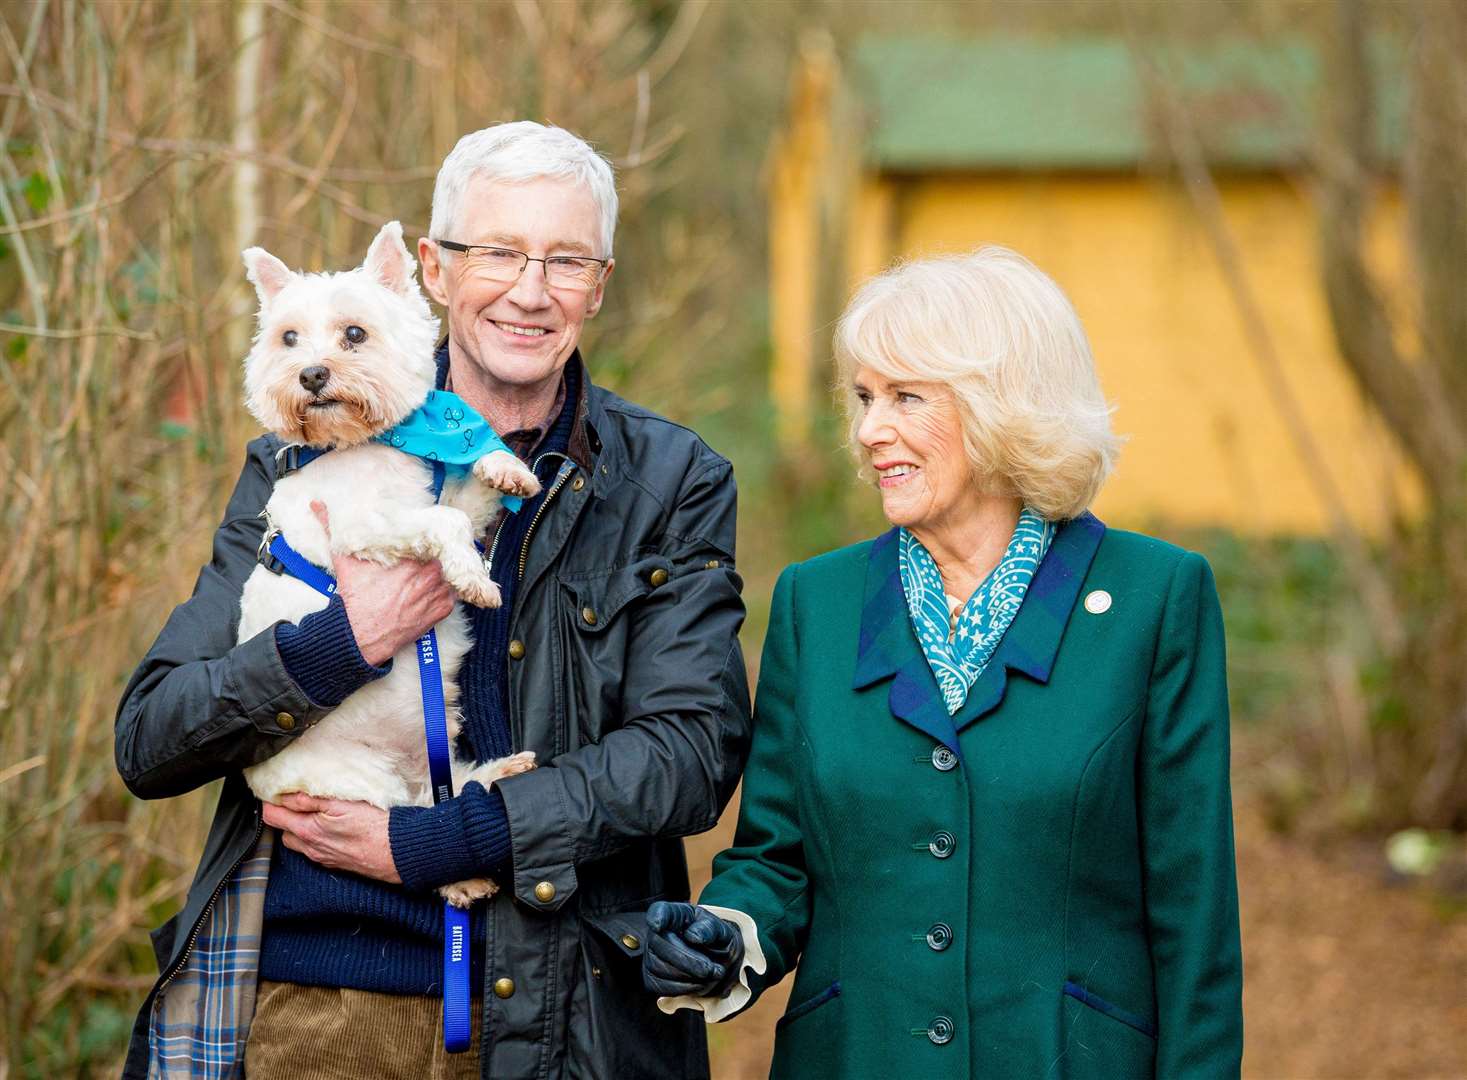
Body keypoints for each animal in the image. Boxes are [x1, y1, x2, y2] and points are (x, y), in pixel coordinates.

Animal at [237, 217, 536, 903]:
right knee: (412, 823)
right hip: (357, 782)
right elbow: (448, 522)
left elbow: (471, 494)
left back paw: (506, 769)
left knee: (453, 794)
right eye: (288, 337)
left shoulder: (433, 490)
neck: (363, 441)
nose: (311, 375)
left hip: (437, 751)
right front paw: (473, 578)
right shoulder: (364, 527)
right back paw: (466, 879)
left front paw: (507, 465)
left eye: (355, 333)